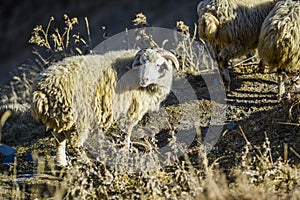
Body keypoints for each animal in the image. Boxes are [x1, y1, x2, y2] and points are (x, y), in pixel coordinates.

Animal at [30, 48, 179, 166]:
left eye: (158, 64)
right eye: (141, 63)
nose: (144, 80)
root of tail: (41, 91)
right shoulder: (132, 110)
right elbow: (127, 131)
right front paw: (125, 149)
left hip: (60, 117)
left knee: (59, 139)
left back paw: (62, 163)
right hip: (79, 117)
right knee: (75, 143)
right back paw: (87, 163)